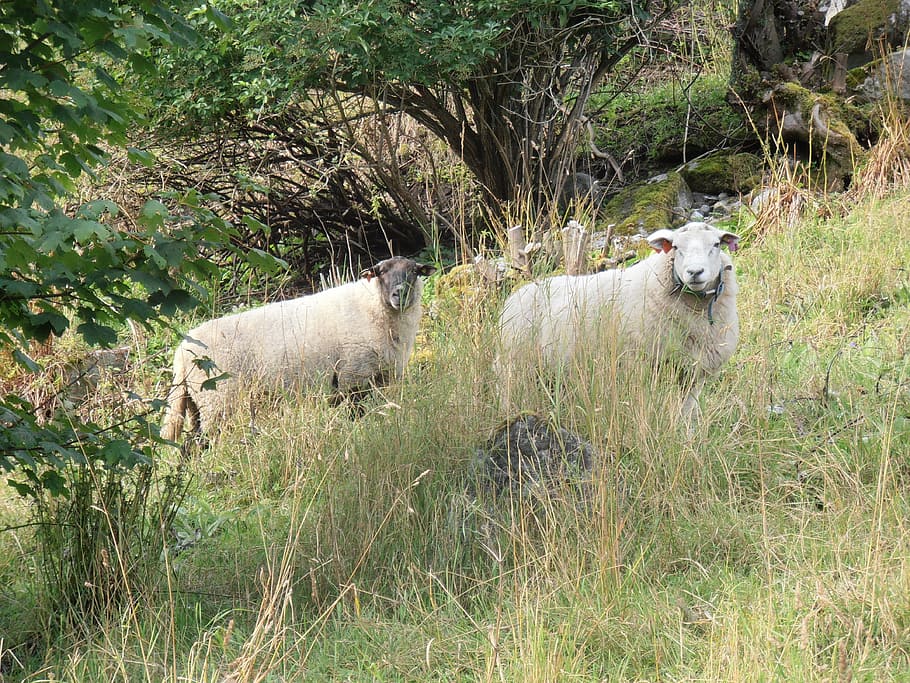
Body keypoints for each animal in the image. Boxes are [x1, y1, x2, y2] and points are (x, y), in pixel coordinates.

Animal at [161, 256, 435, 440]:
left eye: (414, 271)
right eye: (380, 272)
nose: (399, 294)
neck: (374, 306)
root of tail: (181, 353)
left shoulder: (384, 377)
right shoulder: (352, 377)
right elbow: (356, 415)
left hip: (196, 402)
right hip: (217, 400)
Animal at [497, 222, 740, 425]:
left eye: (716, 244)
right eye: (676, 247)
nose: (695, 272)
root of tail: (514, 297)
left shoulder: (692, 376)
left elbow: (686, 413)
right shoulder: (641, 368)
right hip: (515, 368)